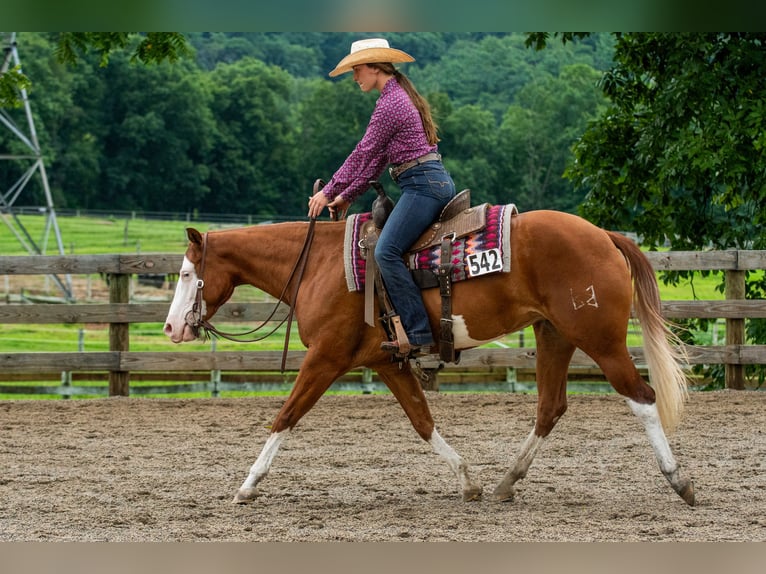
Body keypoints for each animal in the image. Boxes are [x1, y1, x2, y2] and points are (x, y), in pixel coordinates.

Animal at [163, 208, 695, 507]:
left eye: (188, 273)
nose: (171, 328)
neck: (318, 265)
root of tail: (604, 235)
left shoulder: (325, 359)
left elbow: (285, 416)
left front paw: (248, 485)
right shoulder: (386, 362)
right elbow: (422, 422)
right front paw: (467, 482)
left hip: (599, 339)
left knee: (641, 396)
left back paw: (679, 482)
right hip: (554, 335)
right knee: (550, 408)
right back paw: (505, 483)